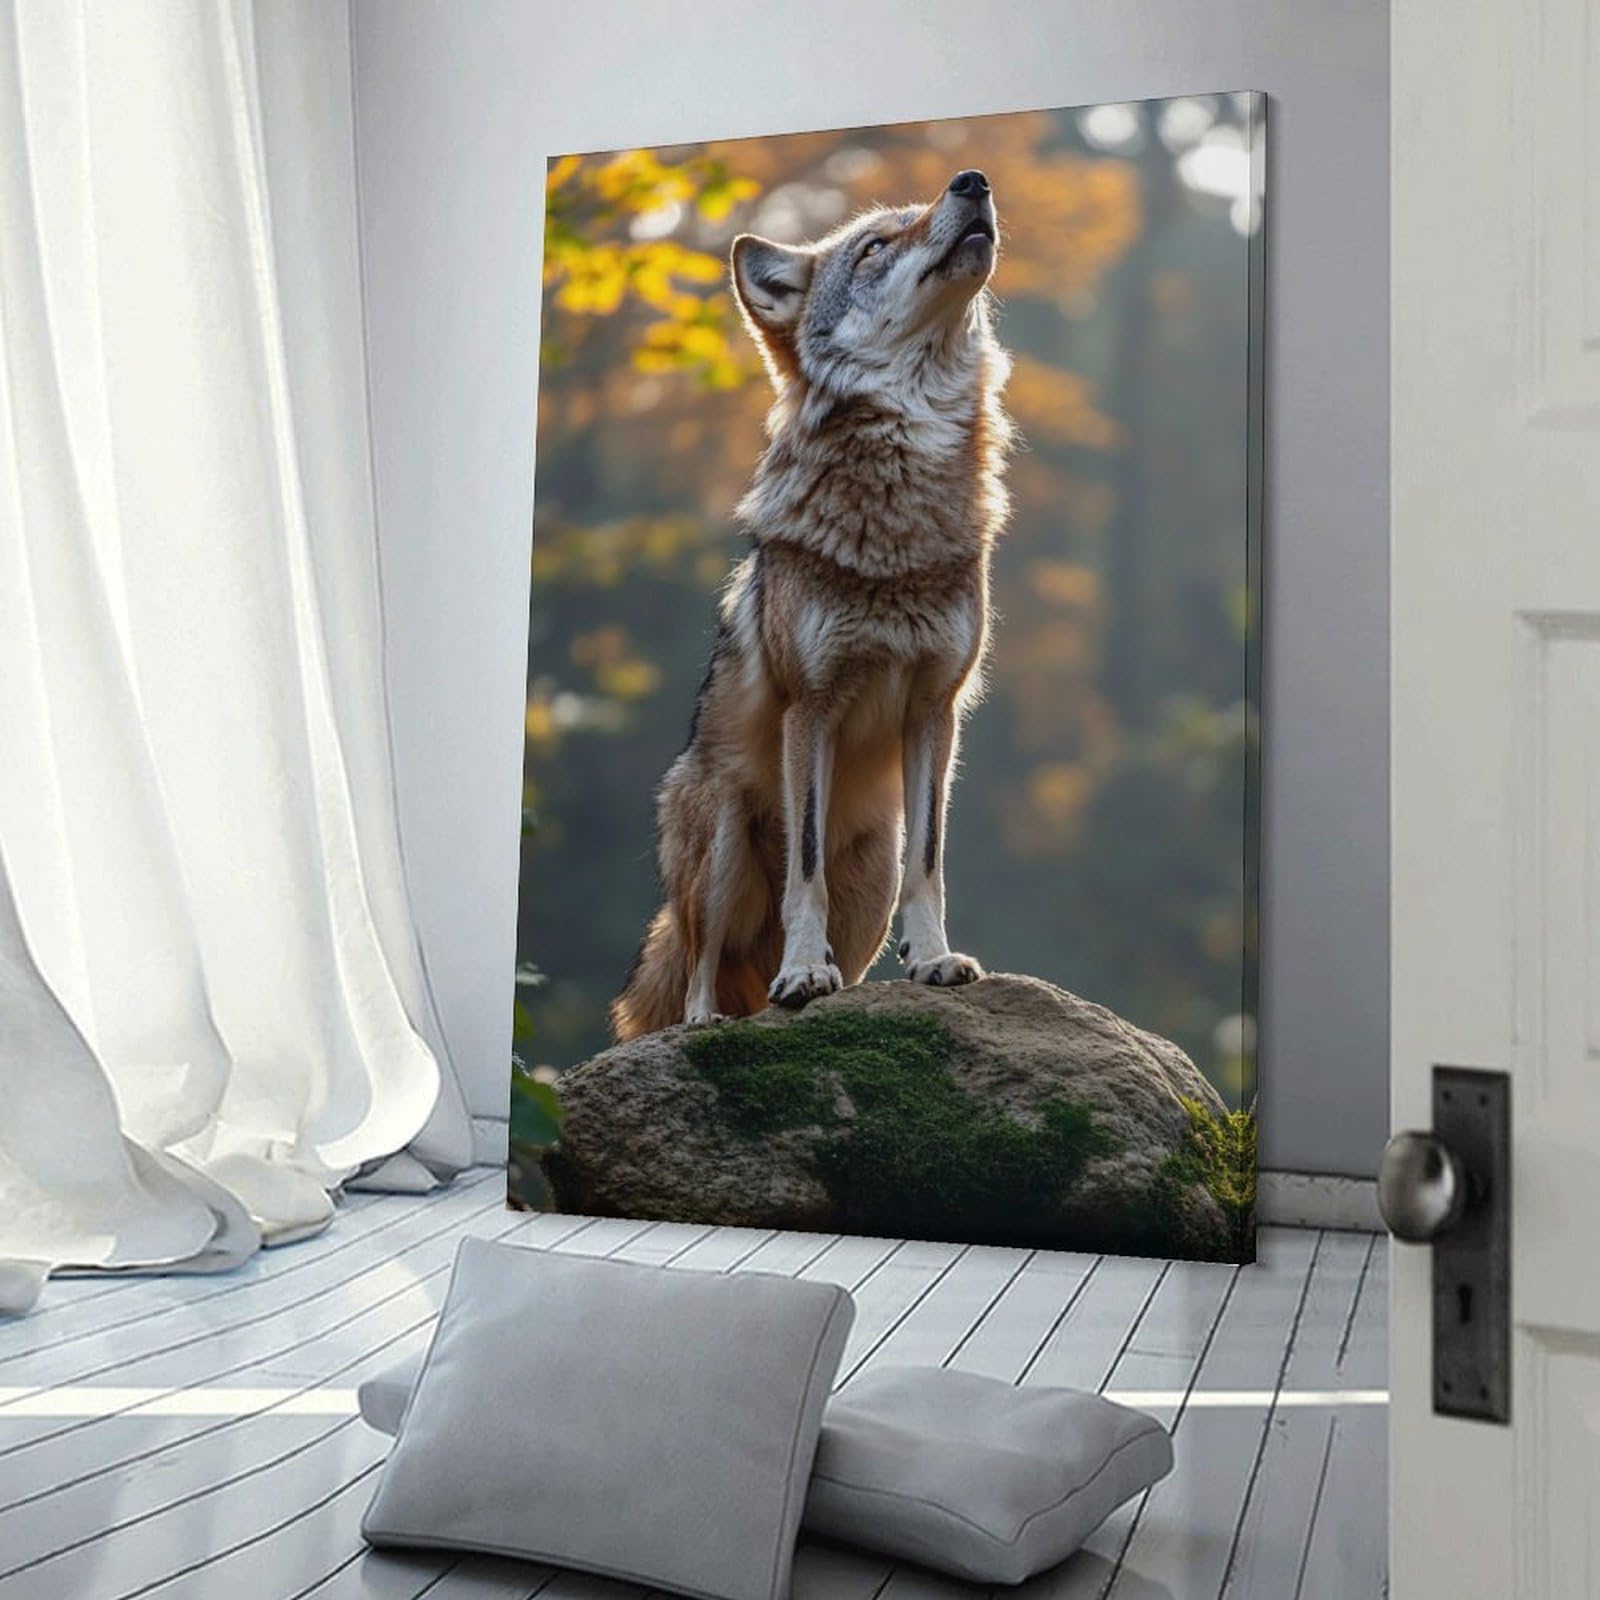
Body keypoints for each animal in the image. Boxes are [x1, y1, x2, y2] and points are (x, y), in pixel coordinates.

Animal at [610, 168, 1013, 1041]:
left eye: (919, 216)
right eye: (875, 245)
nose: (972, 183)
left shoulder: (935, 710)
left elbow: (930, 866)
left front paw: (936, 961)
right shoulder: (811, 708)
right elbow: (806, 870)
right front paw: (801, 972)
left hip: (871, 871)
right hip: (721, 843)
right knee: (697, 970)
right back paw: (711, 1021)